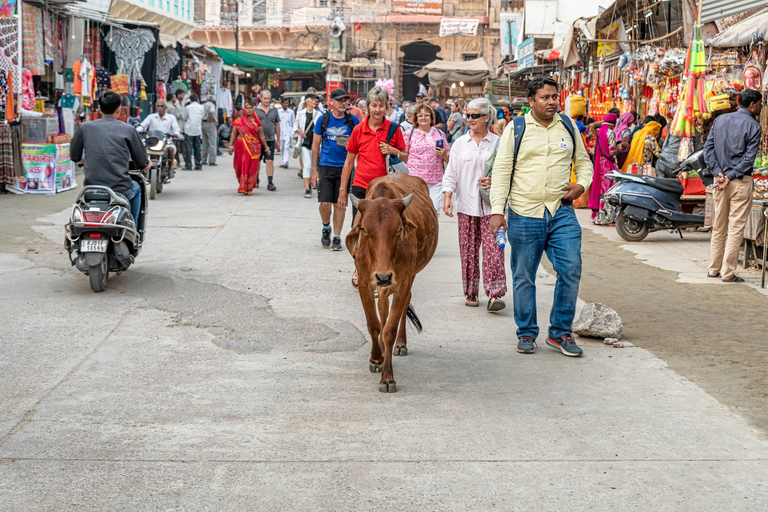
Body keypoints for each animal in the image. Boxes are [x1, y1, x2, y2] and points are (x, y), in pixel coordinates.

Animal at [346, 174, 438, 394]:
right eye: (364, 229)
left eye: (399, 230)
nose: (383, 277)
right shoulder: (365, 282)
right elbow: (374, 324)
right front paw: (376, 358)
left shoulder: (403, 281)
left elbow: (389, 330)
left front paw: (387, 377)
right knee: (383, 307)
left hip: (408, 277)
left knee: (402, 307)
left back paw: (400, 344)